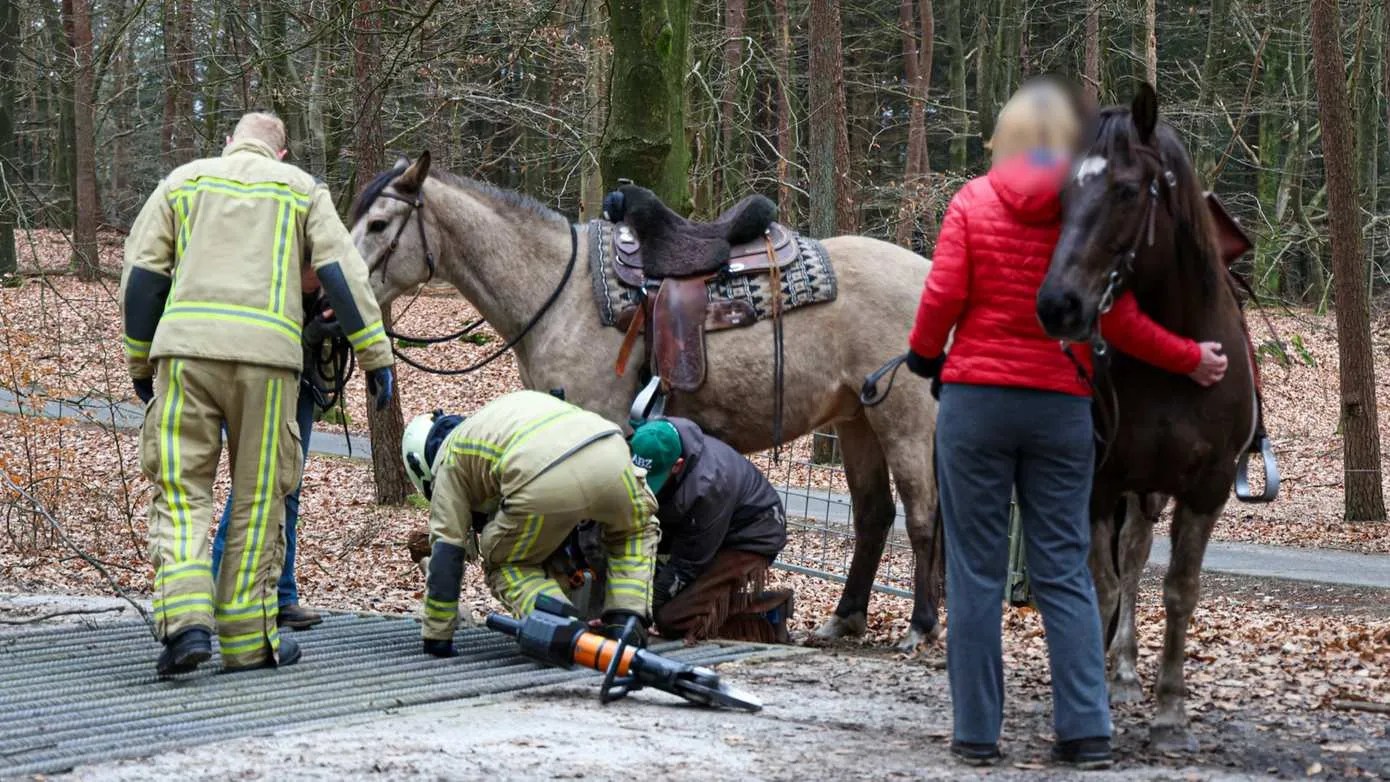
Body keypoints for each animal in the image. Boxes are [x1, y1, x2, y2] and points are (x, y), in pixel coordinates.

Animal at [347, 151, 942, 650]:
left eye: (378, 224)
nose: (337, 297)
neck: (558, 291)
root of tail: (926, 273)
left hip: (904, 420)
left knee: (921, 517)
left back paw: (920, 627)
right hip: (857, 420)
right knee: (873, 515)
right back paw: (844, 619)